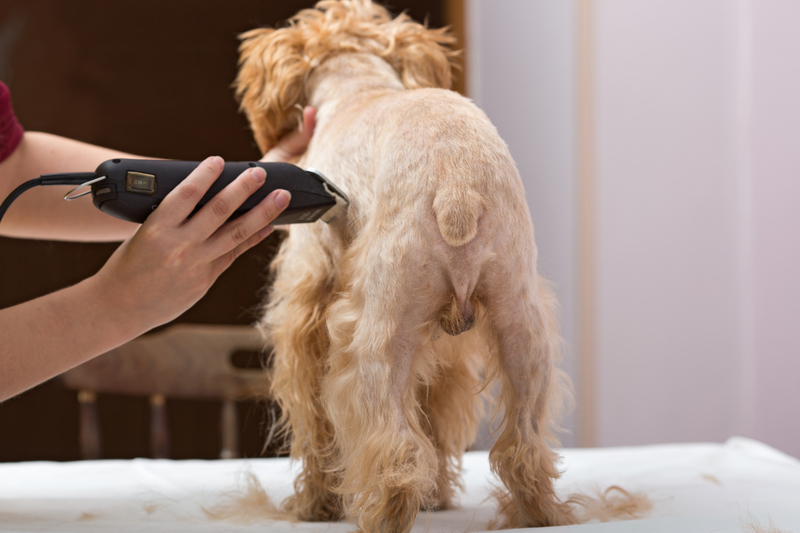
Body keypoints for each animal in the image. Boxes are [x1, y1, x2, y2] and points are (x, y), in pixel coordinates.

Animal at [236, 2, 576, 528]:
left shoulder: (307, 306)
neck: (358, 88)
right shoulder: (449, 351)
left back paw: (380, 515)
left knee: (394, 449)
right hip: (522, 328)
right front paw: (436, 495)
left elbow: (315, 418)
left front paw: (316, 504)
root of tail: (458, 189)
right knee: (524, 445)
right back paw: (540, 514)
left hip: (382, 335)